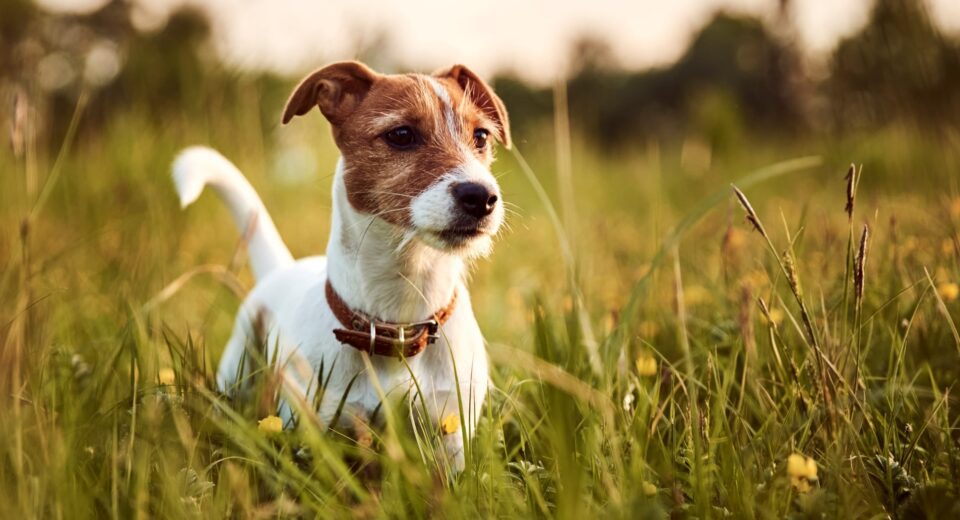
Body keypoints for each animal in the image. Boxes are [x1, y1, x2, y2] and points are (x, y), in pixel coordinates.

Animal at [176, 61, 512, 472]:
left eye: (481, 136)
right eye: (401, 135)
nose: (482, 197)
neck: (398, 323)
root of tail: (282, 268)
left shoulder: (450, 433)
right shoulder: (321, 430)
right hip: (236, 371)